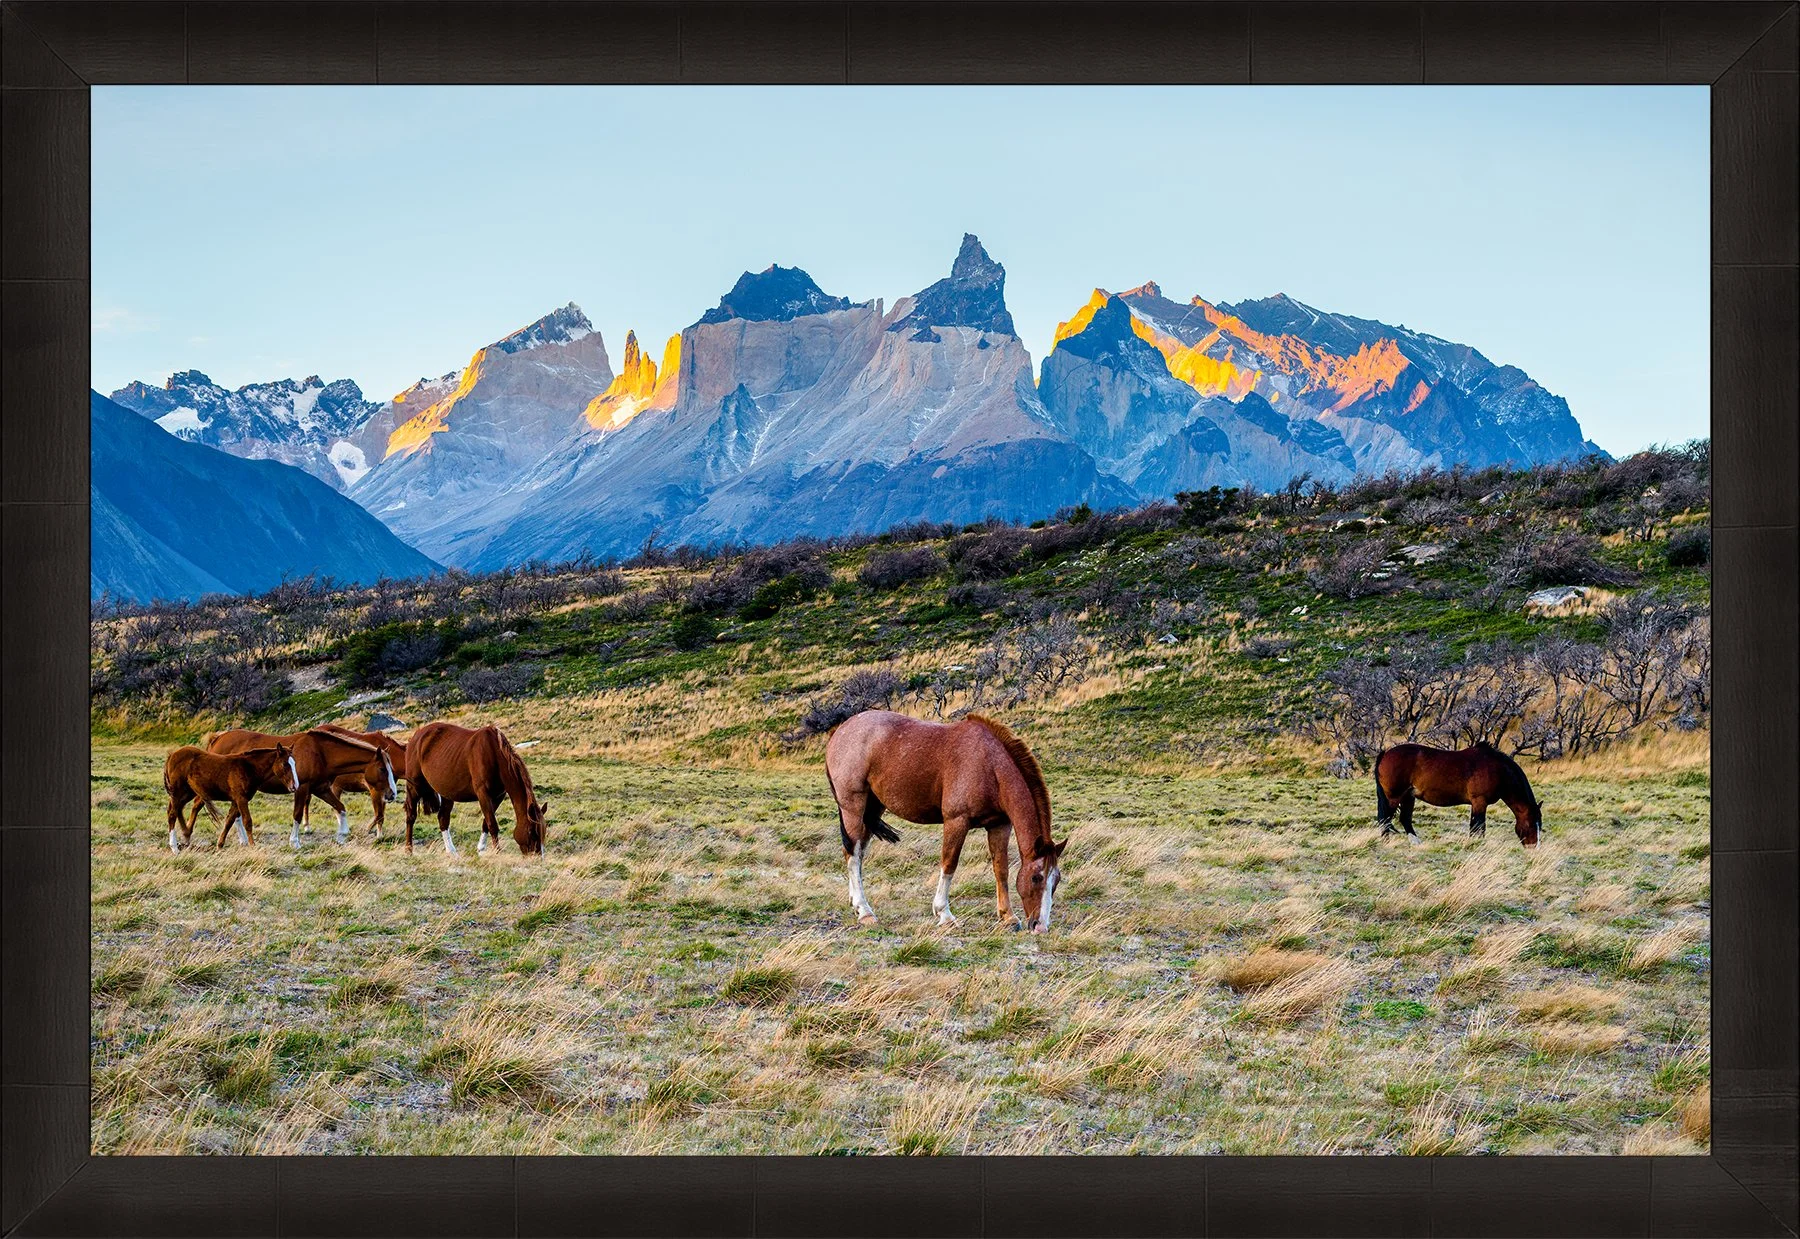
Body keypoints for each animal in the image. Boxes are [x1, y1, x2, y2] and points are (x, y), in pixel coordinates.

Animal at [163, 743, 297, 851]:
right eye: (285, 764)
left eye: (294, 763)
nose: (294, 786)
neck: (248, 768)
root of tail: (172, 755)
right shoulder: (241, 799)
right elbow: (247, 821)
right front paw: (253, 846)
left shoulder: (235, 800)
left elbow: (229, 821)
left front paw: (219, 845)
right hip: (178, 792)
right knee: (172, 814)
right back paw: (174, 847)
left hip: (188, 792)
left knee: (178, 809)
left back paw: (186, 835)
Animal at [206, 727, 397, 849]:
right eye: (382, 769)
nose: (392, 794)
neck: (321, 753)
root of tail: (218, 738)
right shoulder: (302, 788)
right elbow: (297, 815)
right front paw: (294, 842)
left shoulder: (321, 789)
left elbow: (341, 808)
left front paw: (342, 836)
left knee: (235, 815)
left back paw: (243, 840)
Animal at [402, 721, 548, 856]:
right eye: (532, 832)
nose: (537, 857)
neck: (494, 754)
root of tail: (417, 735)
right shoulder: (483, 794)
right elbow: (492, 825)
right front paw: (497, 852)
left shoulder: (498, 796)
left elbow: (486, 823)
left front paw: (481, 850)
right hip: (414, 787)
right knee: (411, 816)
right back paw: (409, 850)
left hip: (447, 793)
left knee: (443, 818)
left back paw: (452, 852)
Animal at [824, 710, 1069, 932]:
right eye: (1036, 878)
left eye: (1056, 880)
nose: (1040, 927)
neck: (990, 765)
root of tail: (840, 731)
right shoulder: (956, 821)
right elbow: (949, 864)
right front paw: (945, 914)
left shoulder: (999, 825)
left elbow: (1001, 869)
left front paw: (1007, 916)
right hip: (853, 807)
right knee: (853, 854)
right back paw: (865, 911)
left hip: (872, 808)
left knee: (858, 853)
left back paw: (856, 903)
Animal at [1374, 741, 1542, 847]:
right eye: (1530, 824)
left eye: (1540, 825)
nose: (1534, 847)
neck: (1498, 770)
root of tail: (1385, 754)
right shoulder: (1479, 802)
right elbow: (1478, 827)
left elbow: (1475, 826)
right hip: (1394, 797)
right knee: (1386, 819)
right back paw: (1386, 842)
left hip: (1408, 796)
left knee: (1404, 819)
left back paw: (1415, 842)